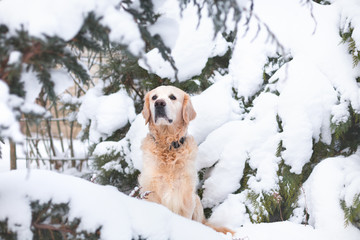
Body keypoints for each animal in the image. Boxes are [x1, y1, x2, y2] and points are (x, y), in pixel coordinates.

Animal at [138, 86, 233, 234]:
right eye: (154, 97)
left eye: (172, 97)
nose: (159, 103)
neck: (168, 146)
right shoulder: (151, 191)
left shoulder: (186, 196)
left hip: (196, 201)